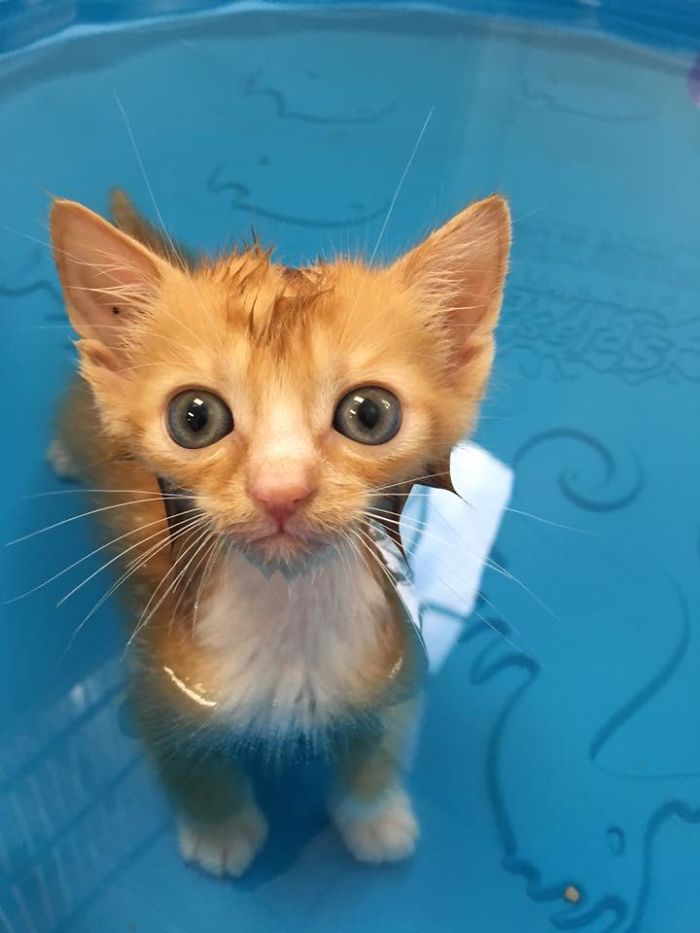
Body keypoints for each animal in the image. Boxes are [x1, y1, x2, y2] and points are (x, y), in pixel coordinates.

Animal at [47, 193, 508, 876]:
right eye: (195, 417)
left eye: (369, 414)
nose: (281, 490)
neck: (290, 617)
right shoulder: (156, 684)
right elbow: (188, 766)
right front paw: (219, 828)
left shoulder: (391, 664)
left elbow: (380, 743)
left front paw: (376, 815)